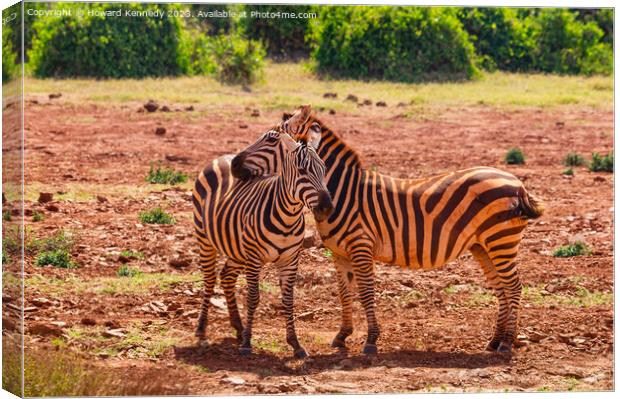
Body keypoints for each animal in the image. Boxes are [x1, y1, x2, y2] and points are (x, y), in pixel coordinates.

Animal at [193, 123, 334, 358]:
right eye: (302, 171)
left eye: (324, 169)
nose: (326, 208)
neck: (287, 217)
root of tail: (222, 157)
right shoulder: (254, 258)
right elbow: (253, 297)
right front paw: (247, 344)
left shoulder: (290, 260)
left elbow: (288, 299)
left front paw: (295, 344)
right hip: (205, 239)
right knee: (210, 279)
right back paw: (202, 329)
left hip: (236, 249)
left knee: (227, 276)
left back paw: (238, 327)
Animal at [229, 105, 544, 356]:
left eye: (271, 139)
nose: (233, 165)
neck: (344, 193)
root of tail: (516, 182)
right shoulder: (339, 254)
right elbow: (345, 293)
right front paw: (342, 337)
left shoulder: (361, 247)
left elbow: (367, 292)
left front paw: (370, 341)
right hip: (484, 246)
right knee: (501, 288)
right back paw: (494, 342)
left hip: (501, 240)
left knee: (513, 286)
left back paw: (507, 344)